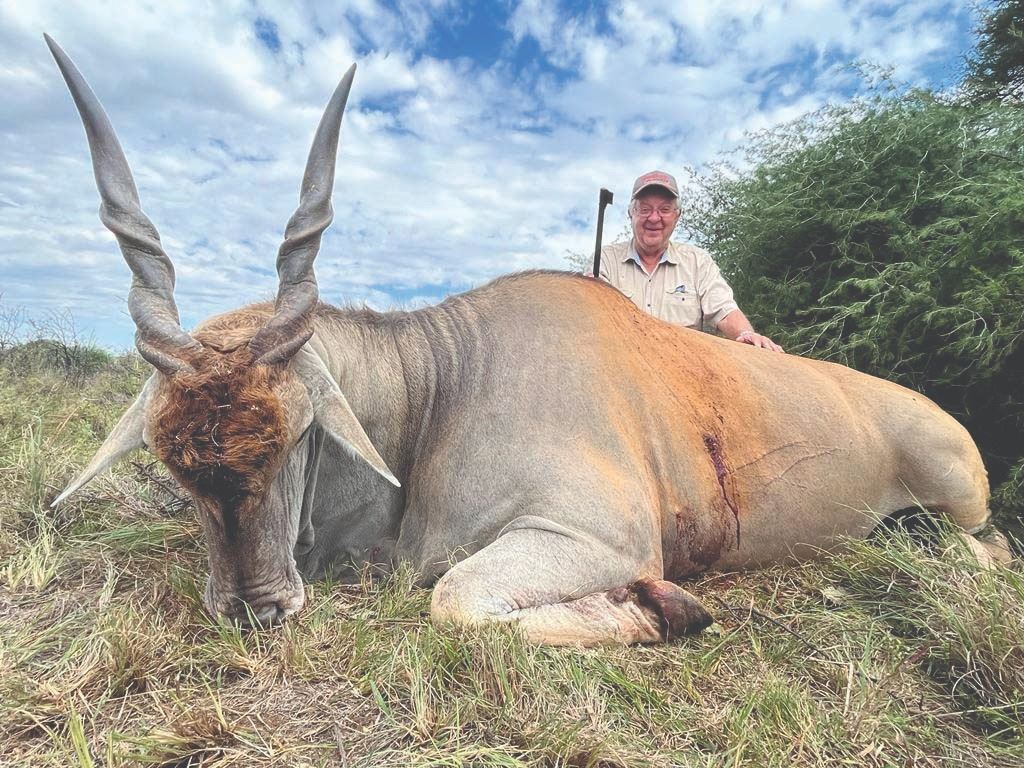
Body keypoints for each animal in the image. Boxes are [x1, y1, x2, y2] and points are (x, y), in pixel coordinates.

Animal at [47, 36, 1009, 646]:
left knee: (985, 549)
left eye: (295, 440)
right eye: (174, 466)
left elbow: (456, 601)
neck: (439, 388)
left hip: (962, 502)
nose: (255, 609)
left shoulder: (597, 537)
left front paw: (666, 610)